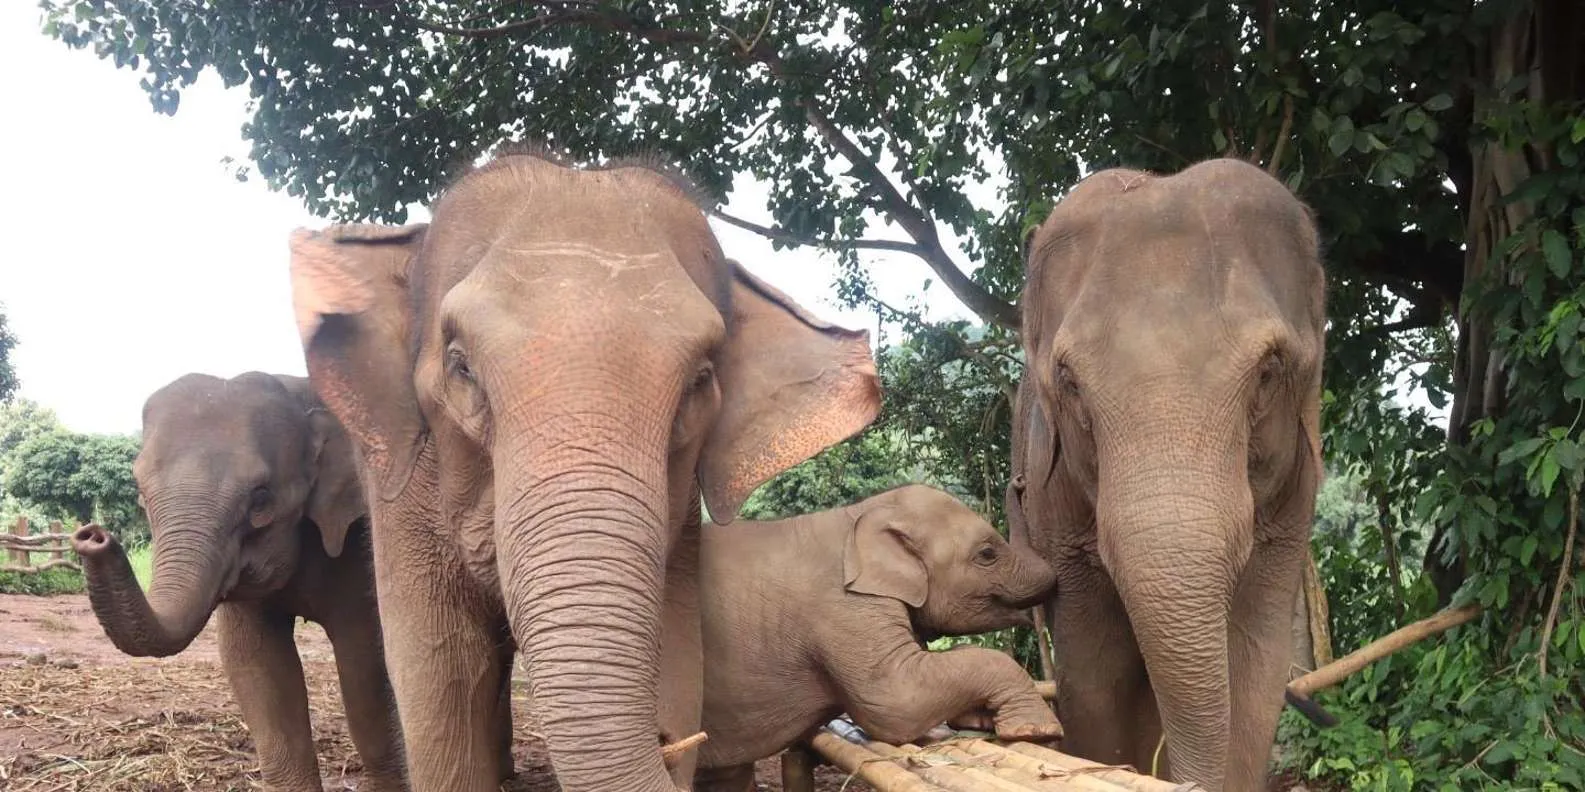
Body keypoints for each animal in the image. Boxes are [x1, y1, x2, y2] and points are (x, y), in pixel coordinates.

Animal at [72, 371, 406, 792]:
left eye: (260, 499)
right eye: (141, 496)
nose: (92, 536)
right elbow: (255, 663)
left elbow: (365, 661)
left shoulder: (359, 543)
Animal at [285, 148, 881, 792]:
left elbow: (678, 655)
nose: (668, 742)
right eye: (461, 367)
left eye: (700, 381)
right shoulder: (406, 492)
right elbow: (440, 677)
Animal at [690, 484, 1064, 792]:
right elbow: (895, 700)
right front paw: (1035, 731)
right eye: (987, 554)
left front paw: (979, 719)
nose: (1019, 482)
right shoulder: (847, 606)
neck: (861, 512)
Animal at [1007, 158, 1325, 792]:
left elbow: (1255, 660)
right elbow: (1095, 666)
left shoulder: (1293, 498)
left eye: (1268, 372)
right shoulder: (1053, 499)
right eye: (1071, 383)